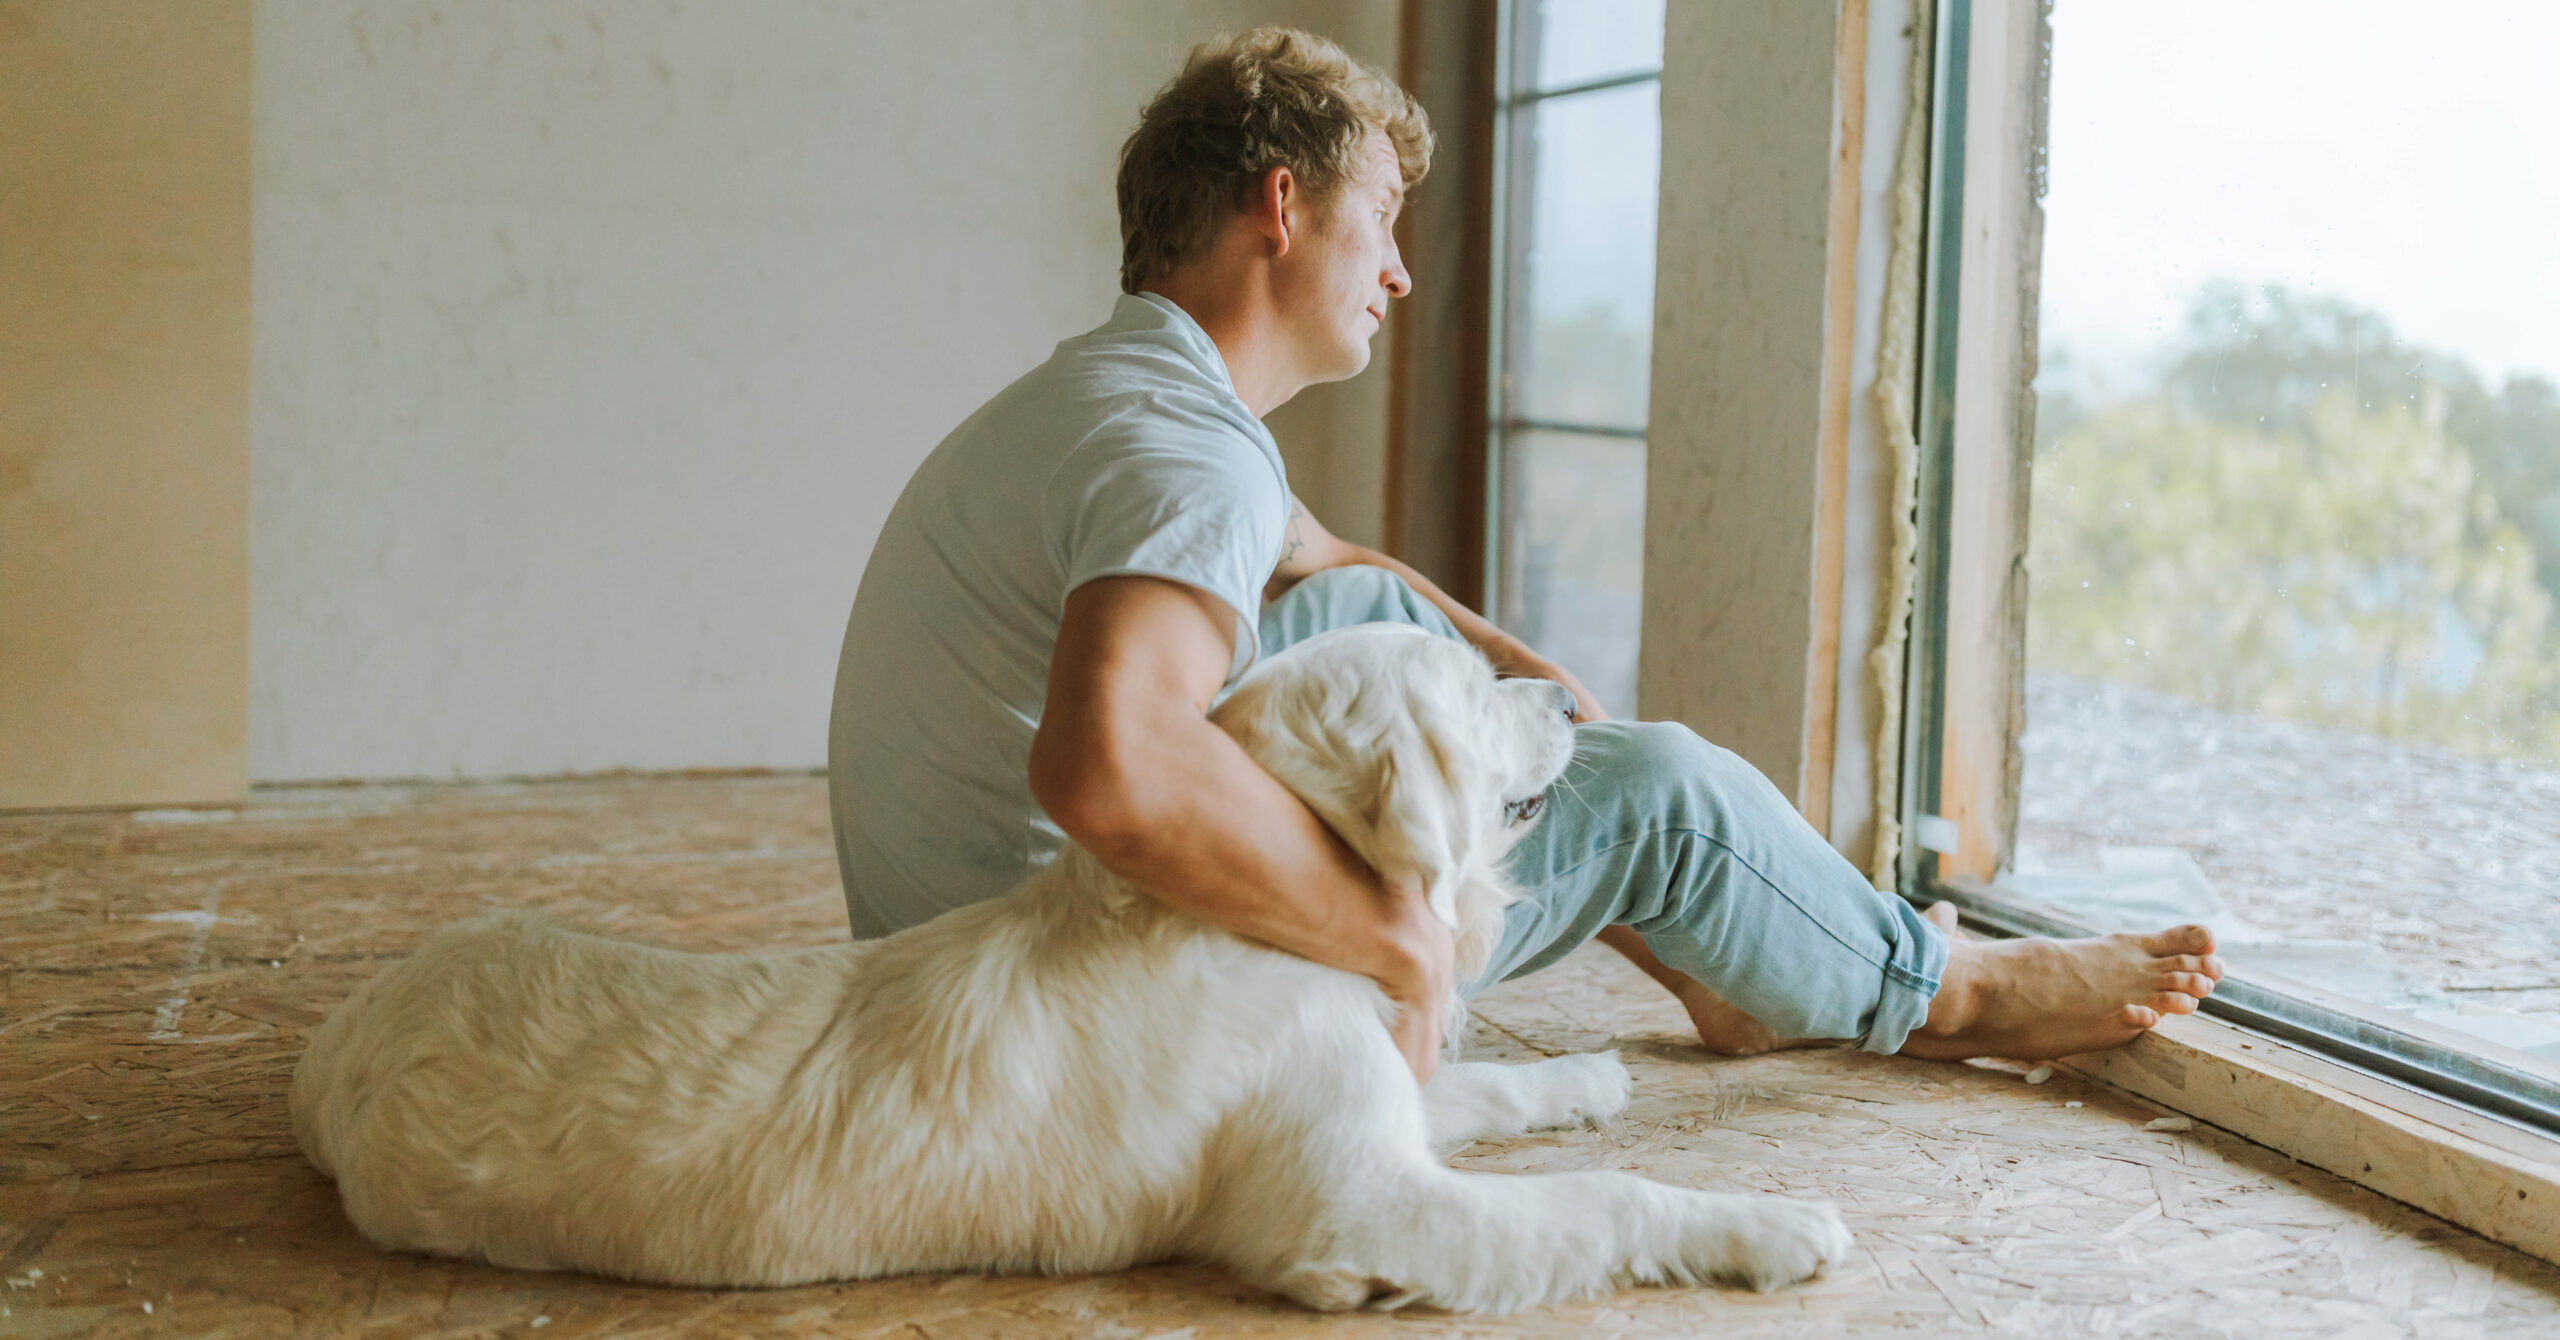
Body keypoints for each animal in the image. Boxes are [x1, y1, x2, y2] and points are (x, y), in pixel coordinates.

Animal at [294, 627, 1863, 1311]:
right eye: (1474, 687)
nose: (1569, 696)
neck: (1250, 910)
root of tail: (351, 1026)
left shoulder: (1372, 1093)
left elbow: (1481, 1096)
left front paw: (1583, 1077)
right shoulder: (1365, 1208)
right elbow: (1607, 1201)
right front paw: (1770, 1222)